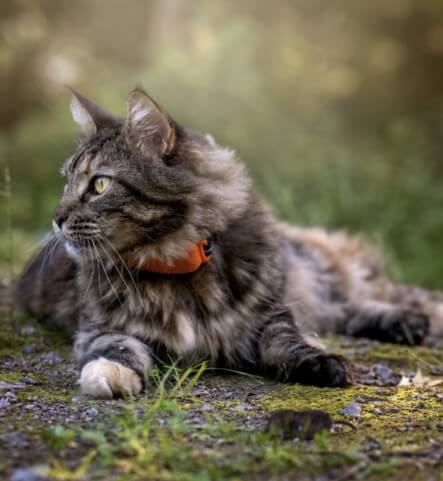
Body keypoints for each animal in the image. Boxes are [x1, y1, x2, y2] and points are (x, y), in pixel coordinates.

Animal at [14, 89, 443, 398]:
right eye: (66, 183)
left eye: (99, 184)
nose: (56, 218)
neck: (176, 267)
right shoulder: (100, 327)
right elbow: (118, 348)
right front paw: (108, 374)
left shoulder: (270, 313)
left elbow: (286, 343)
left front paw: (320, 364)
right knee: (341, 311)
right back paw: (407, 324)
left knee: (363, 300)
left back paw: (412, 320)